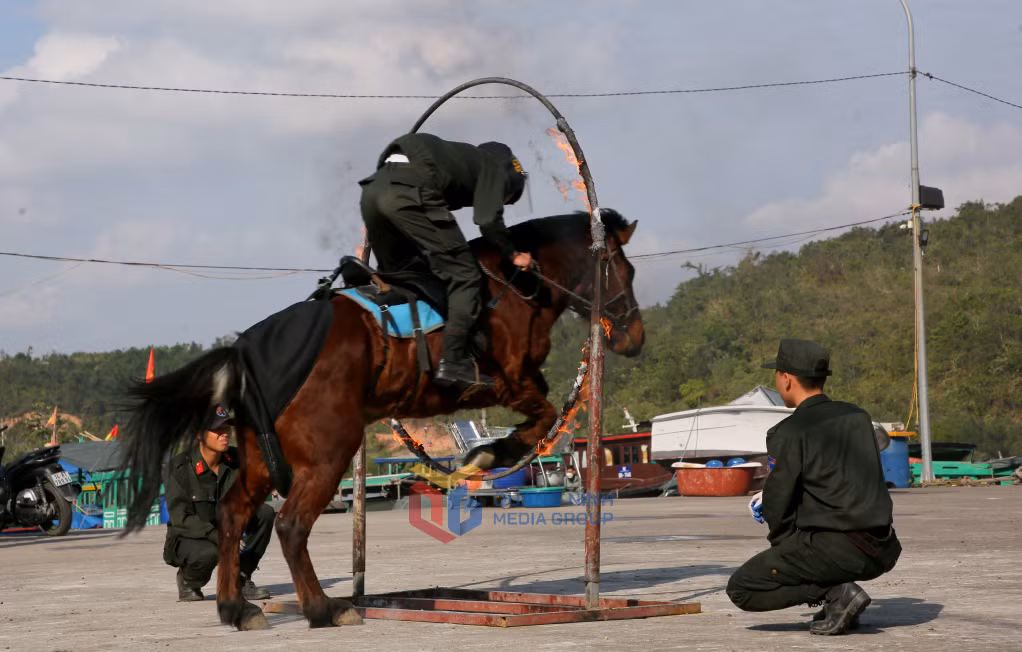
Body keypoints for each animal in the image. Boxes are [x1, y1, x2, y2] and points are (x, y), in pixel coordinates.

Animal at [118, 209, 644, 631]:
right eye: (626, 268)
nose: (634, 338)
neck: (514, 284)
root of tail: (248, 350)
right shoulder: (507, 381)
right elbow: (544, 412)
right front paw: (490, 453)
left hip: (257, 459)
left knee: (232, 515)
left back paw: (235, 608)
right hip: (327, 455)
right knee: (291, 526)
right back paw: (323, 609)